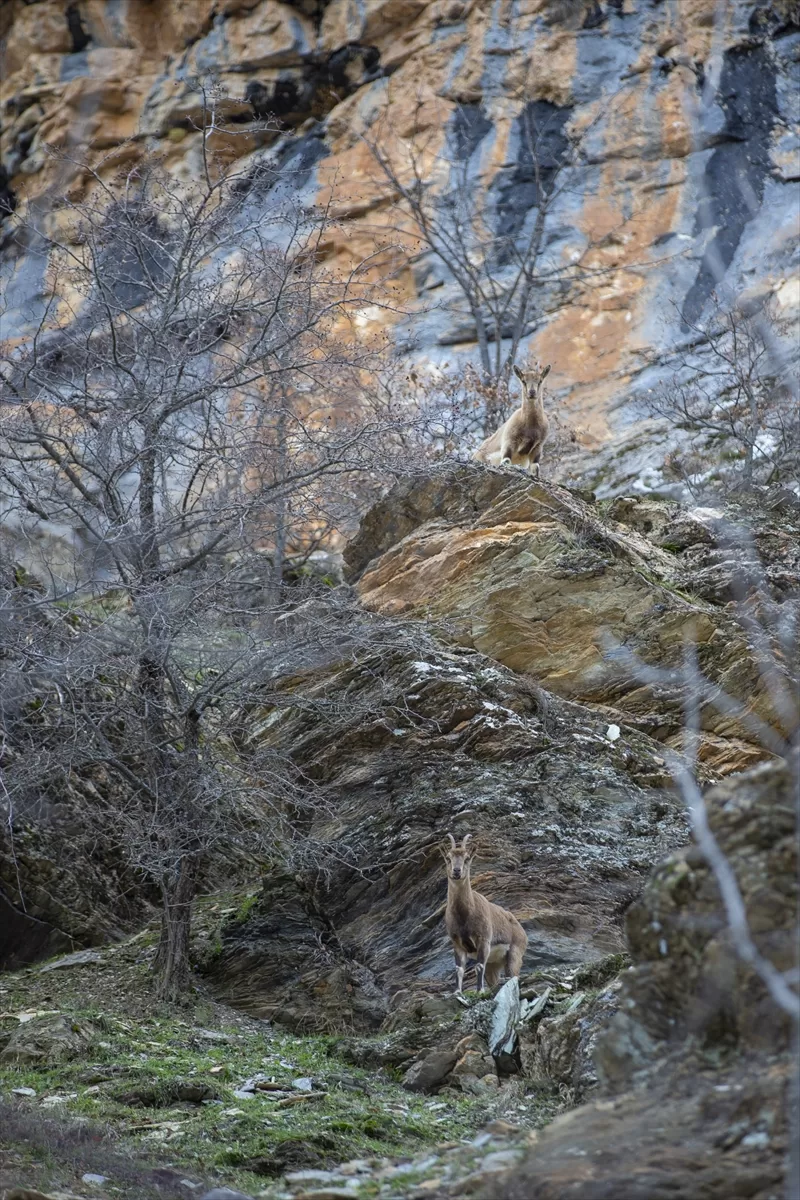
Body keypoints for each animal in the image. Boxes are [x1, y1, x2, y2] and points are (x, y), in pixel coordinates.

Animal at [441, 835, 527, 993]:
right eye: (448, 857)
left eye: (467, 858)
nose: (457, 871)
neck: (464, 915)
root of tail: (521, 930)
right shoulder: (457, 943)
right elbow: (459, 969)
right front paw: (457, 992)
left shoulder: (483, 940)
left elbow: (479, 966)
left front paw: (479, 990)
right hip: (494, 964)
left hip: (514, 954)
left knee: (513, 974)